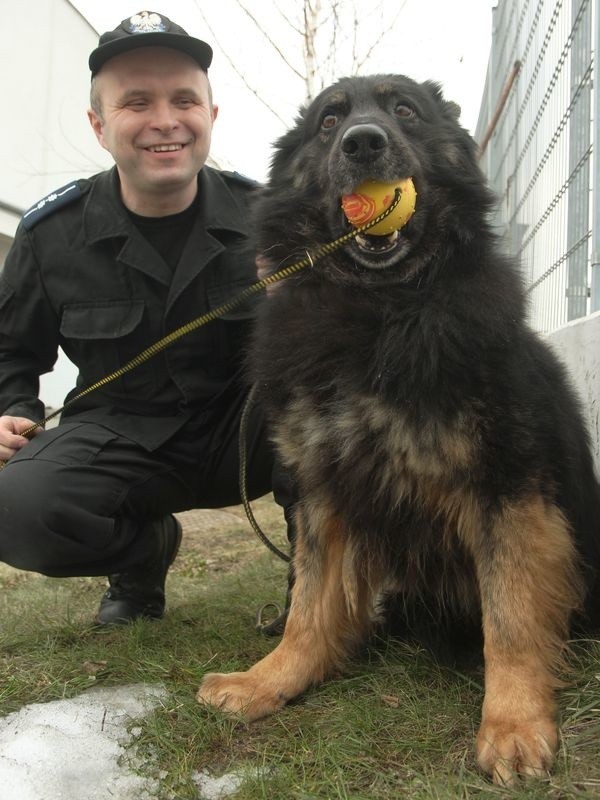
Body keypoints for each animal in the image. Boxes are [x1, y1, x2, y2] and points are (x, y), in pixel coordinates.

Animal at [197, 73, 600, 780]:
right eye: (329, 122)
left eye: (405, 111)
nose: (363, 143)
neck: (378, 313)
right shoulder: (321, 493)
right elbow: (307, 606)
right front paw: (271, 680)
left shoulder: (509, 492)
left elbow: (511, 618)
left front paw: (514, 722)